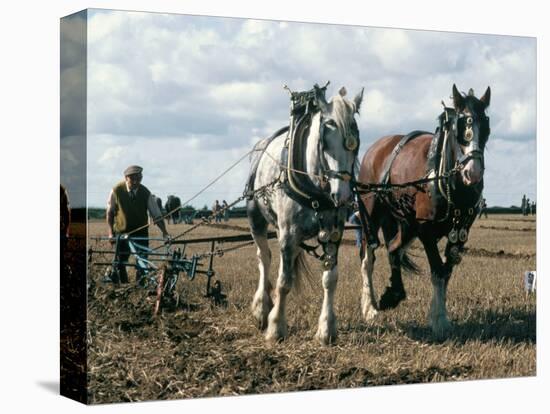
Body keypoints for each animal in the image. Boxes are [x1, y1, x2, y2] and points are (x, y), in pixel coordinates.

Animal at [360, 84, 494, 336]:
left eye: (486, 126)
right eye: (459, 126)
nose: (473, 172)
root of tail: (377, 147)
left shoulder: (460, 233)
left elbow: (446, 272)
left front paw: (436, 314)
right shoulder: (426, 230)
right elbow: (437, 271)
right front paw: (440, 320)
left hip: (406, 224)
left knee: (393, 249)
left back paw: (393, 294)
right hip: (371, 213)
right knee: (368, 257)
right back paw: (369, 307)